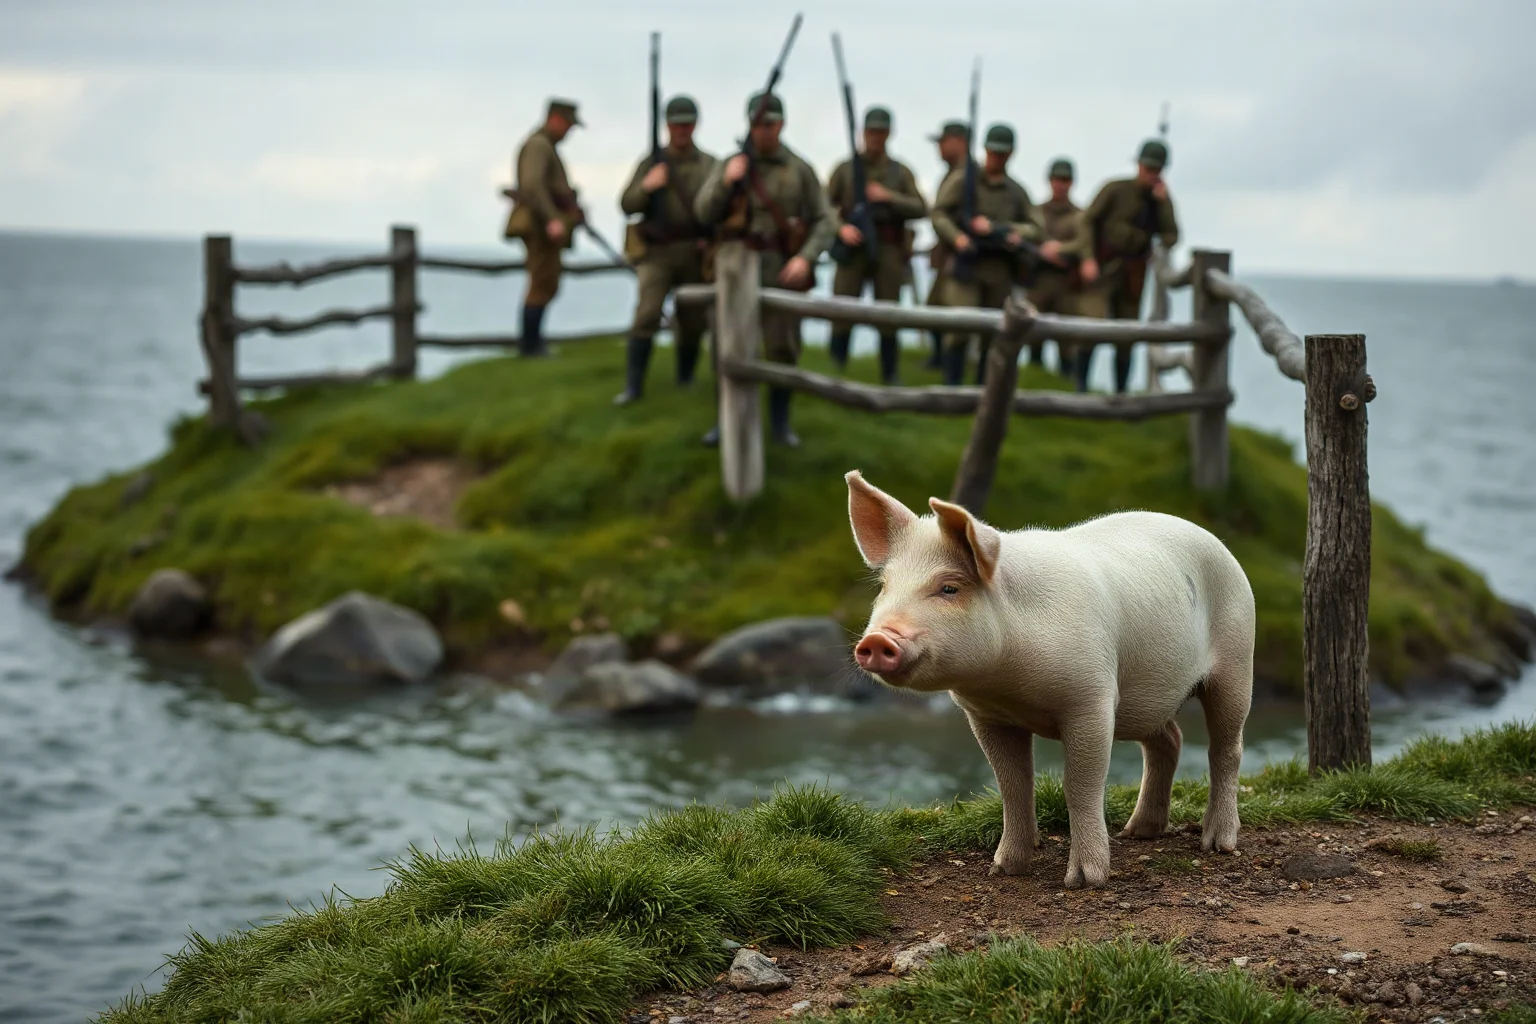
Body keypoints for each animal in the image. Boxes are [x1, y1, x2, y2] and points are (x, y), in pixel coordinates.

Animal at [845, 470, 1254, 889]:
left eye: (949, 588)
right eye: (884, 587)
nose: (877, 640)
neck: (1009, 687)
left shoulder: (1092, 700)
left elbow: (1080, 785)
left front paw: (1084, 881)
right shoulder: (987, 716)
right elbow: (1012, 785)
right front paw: (1004, 868)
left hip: (1237, 659)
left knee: (1226, 748)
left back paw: (1217, 844)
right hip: (1148, 695)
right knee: (1169, 740)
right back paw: (1136, 832)